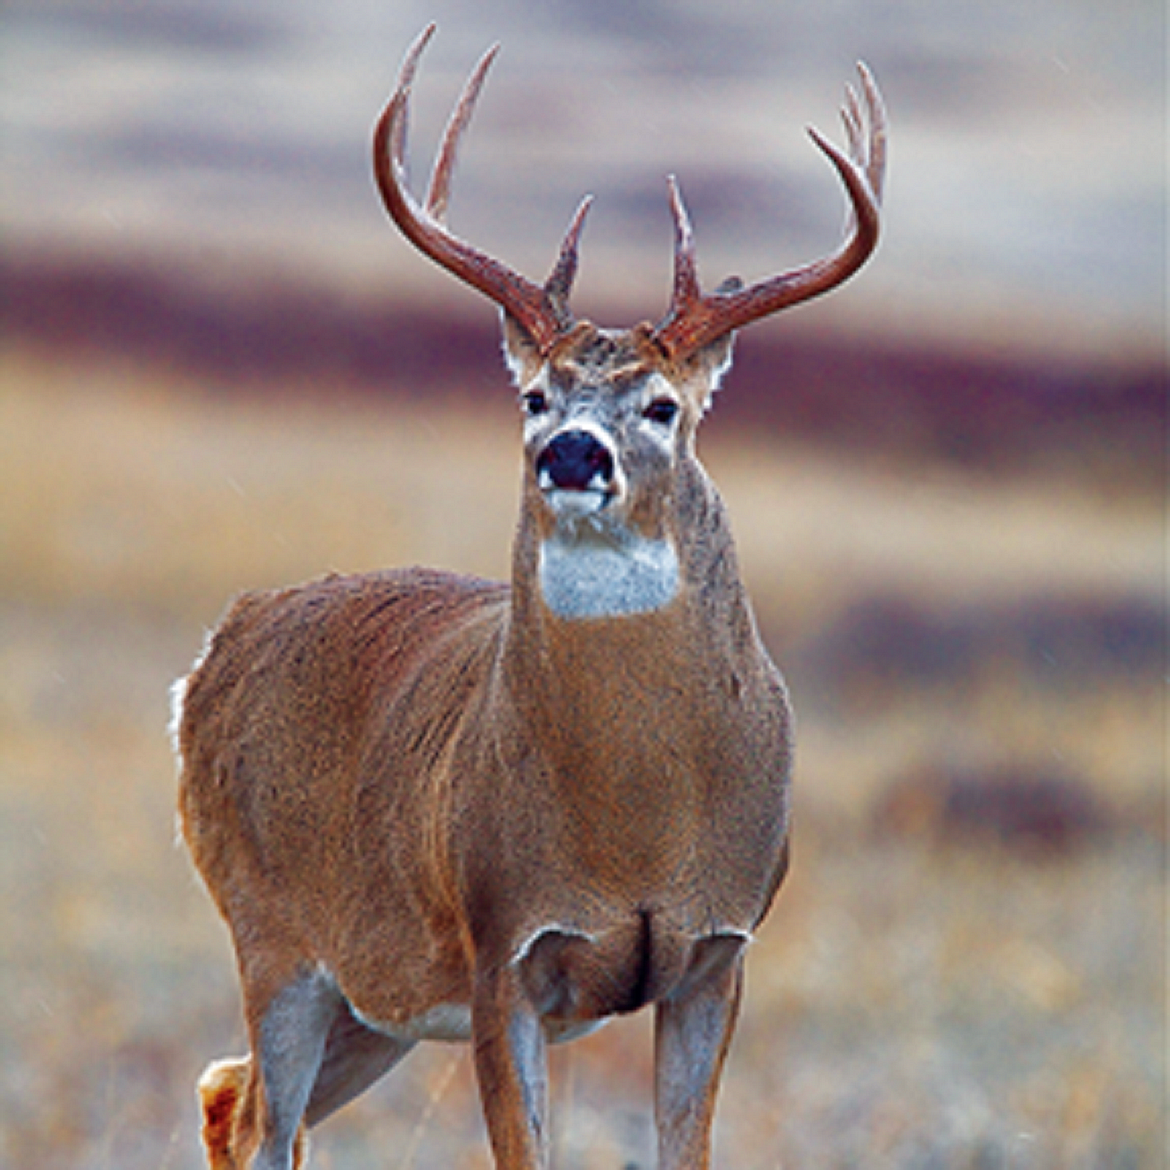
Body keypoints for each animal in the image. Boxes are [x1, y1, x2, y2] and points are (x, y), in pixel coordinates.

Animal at [175, 25, 884, 1170]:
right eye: (534, 395)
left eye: (663, 404)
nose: (573, 452)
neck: (635, 818)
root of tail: (221, 642)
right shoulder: (501, 947)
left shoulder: (720, 953)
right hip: (274, 932)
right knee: (259, 1119)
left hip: (374, 996)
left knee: (226, 1095)